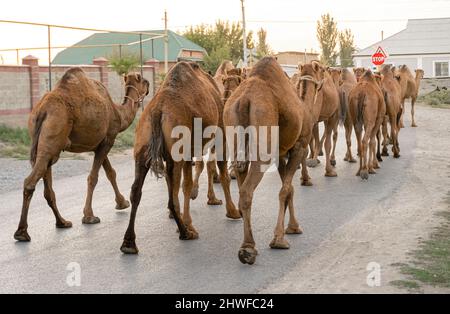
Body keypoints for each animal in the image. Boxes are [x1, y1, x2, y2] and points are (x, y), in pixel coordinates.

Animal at [13, 68, 149, 240]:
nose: (149, 84)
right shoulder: (108, 140)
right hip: (54, 136)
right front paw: (89, 216)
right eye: (143, 80)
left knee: (47, 187)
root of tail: (43, 110)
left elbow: (110, 172)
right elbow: (94, 177)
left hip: (42, 143)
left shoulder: (99, 144)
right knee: (30, 181)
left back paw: (62, 222)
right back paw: (22, 233)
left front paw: (122, 203)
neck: (117, 112)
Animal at [118, 61, 239, 255]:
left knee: (137, 191)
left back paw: (129, 243)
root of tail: (157, 110)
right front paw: (233, 211)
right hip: (178, 147)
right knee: (174, 192)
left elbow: (182, 184)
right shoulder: (219, 134)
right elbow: (217, 175)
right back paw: (186, 232)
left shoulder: (184, 152)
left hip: (142, 147)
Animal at [222, 57, 312, 264]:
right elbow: (285, 190)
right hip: (263, 145)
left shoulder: (280, 153)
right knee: (247, 190)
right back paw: (248, 250)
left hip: (232, 131)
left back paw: (247, 244)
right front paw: (279, 239)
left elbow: (289, 189)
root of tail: (244, 100)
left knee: (241, 182)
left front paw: (293, 227)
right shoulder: (299, 146)